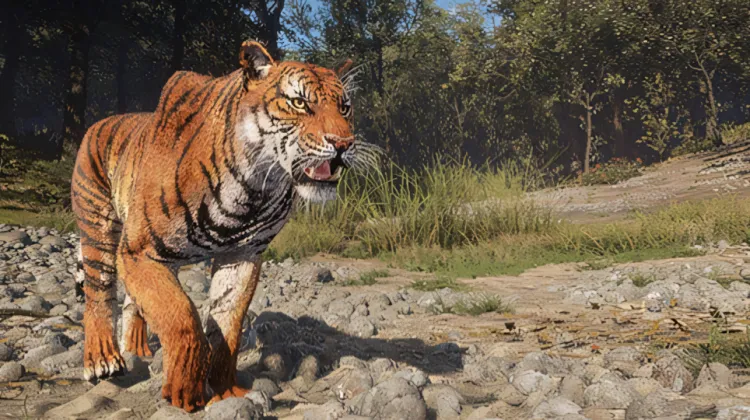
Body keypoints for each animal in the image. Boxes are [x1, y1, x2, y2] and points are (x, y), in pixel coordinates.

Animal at [70, 41, 378, 412]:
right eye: (299, 103)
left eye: (345, 107)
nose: (343, 144)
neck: (253, 187)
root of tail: (98, 124)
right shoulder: (139, 250)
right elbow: (181, 317)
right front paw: (183, 393)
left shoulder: (242, 256)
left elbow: (227, 325)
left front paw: (225, 391)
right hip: (100, 229)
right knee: (98, 293)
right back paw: (103, 359)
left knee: (133, 302)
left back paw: (137, 349)